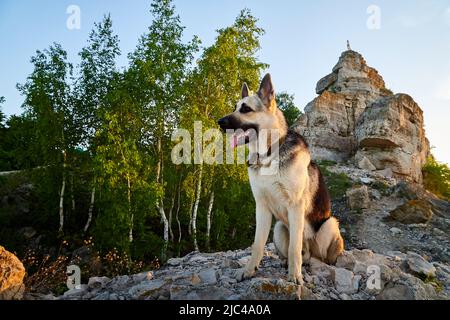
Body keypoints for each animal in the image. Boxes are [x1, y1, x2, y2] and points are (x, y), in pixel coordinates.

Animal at [218, 74, 344, 284]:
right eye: (235, 107)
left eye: (246, 109)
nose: (219, 122)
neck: (269, 154)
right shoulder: (261, 207)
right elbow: (258, 244)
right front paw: (249, 270)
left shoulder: (295, 206)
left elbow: (294, 248)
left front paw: (295, 276)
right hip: (278, 227)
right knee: (298, 252)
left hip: (329, 224)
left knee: (317, 255)